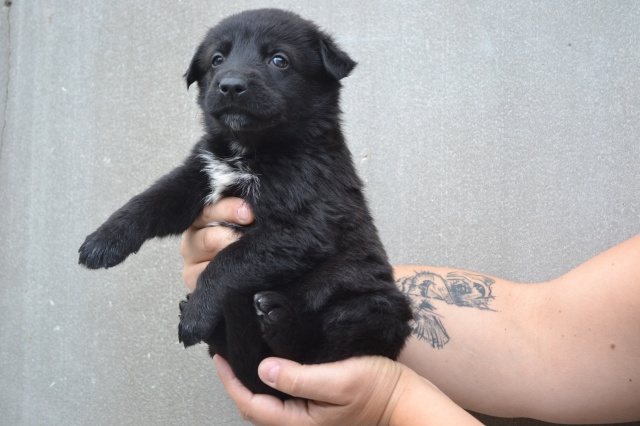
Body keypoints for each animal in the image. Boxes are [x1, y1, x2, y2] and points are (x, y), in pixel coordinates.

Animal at [79, 8, 413, 398]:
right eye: (217, 59)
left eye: (279, 60)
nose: (231, 85)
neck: (248, 151)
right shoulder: (198, 175)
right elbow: (150, 199)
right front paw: (103, 241)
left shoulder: (304, 228)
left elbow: (228, 260)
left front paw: (197, 315)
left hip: (376, 304)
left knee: (317, 350)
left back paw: (277, 317)